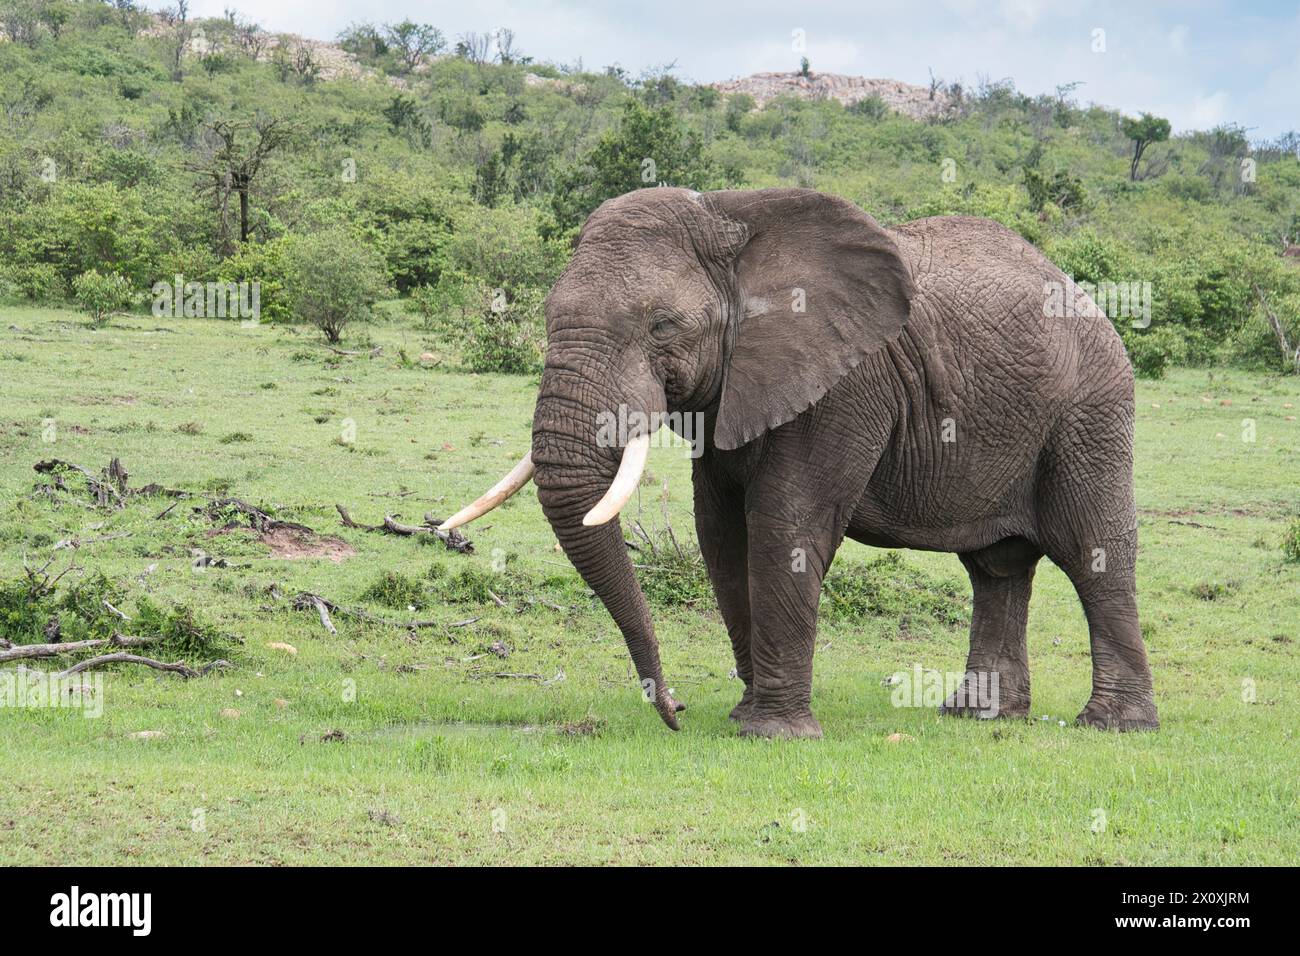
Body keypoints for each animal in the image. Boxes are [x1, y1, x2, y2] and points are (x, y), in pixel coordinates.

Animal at [441, 187, 1158, 739]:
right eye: (547, 313)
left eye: (662, 326)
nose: (674, 708)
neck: (730, 220)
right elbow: (722, 532)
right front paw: (744, 715)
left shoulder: (846, 384)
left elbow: (786, 521)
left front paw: (771, 732)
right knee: (996, 568)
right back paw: (978, 717)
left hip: (1089, 409)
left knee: (1091, 549)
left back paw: (1113, 725)